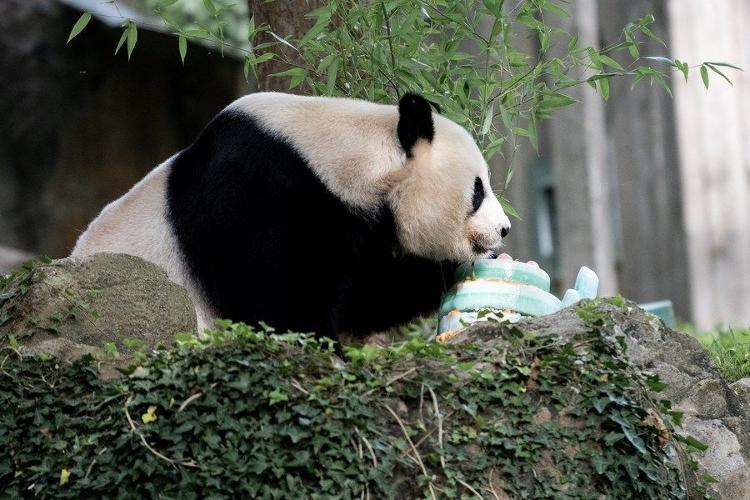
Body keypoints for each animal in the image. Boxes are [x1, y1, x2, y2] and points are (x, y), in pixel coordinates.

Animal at [73, 92, 512, 342]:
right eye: (478, 190)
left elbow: (363, 297)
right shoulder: (257, 196)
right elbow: (273, 303)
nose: (504, 229)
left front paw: (446, 271)